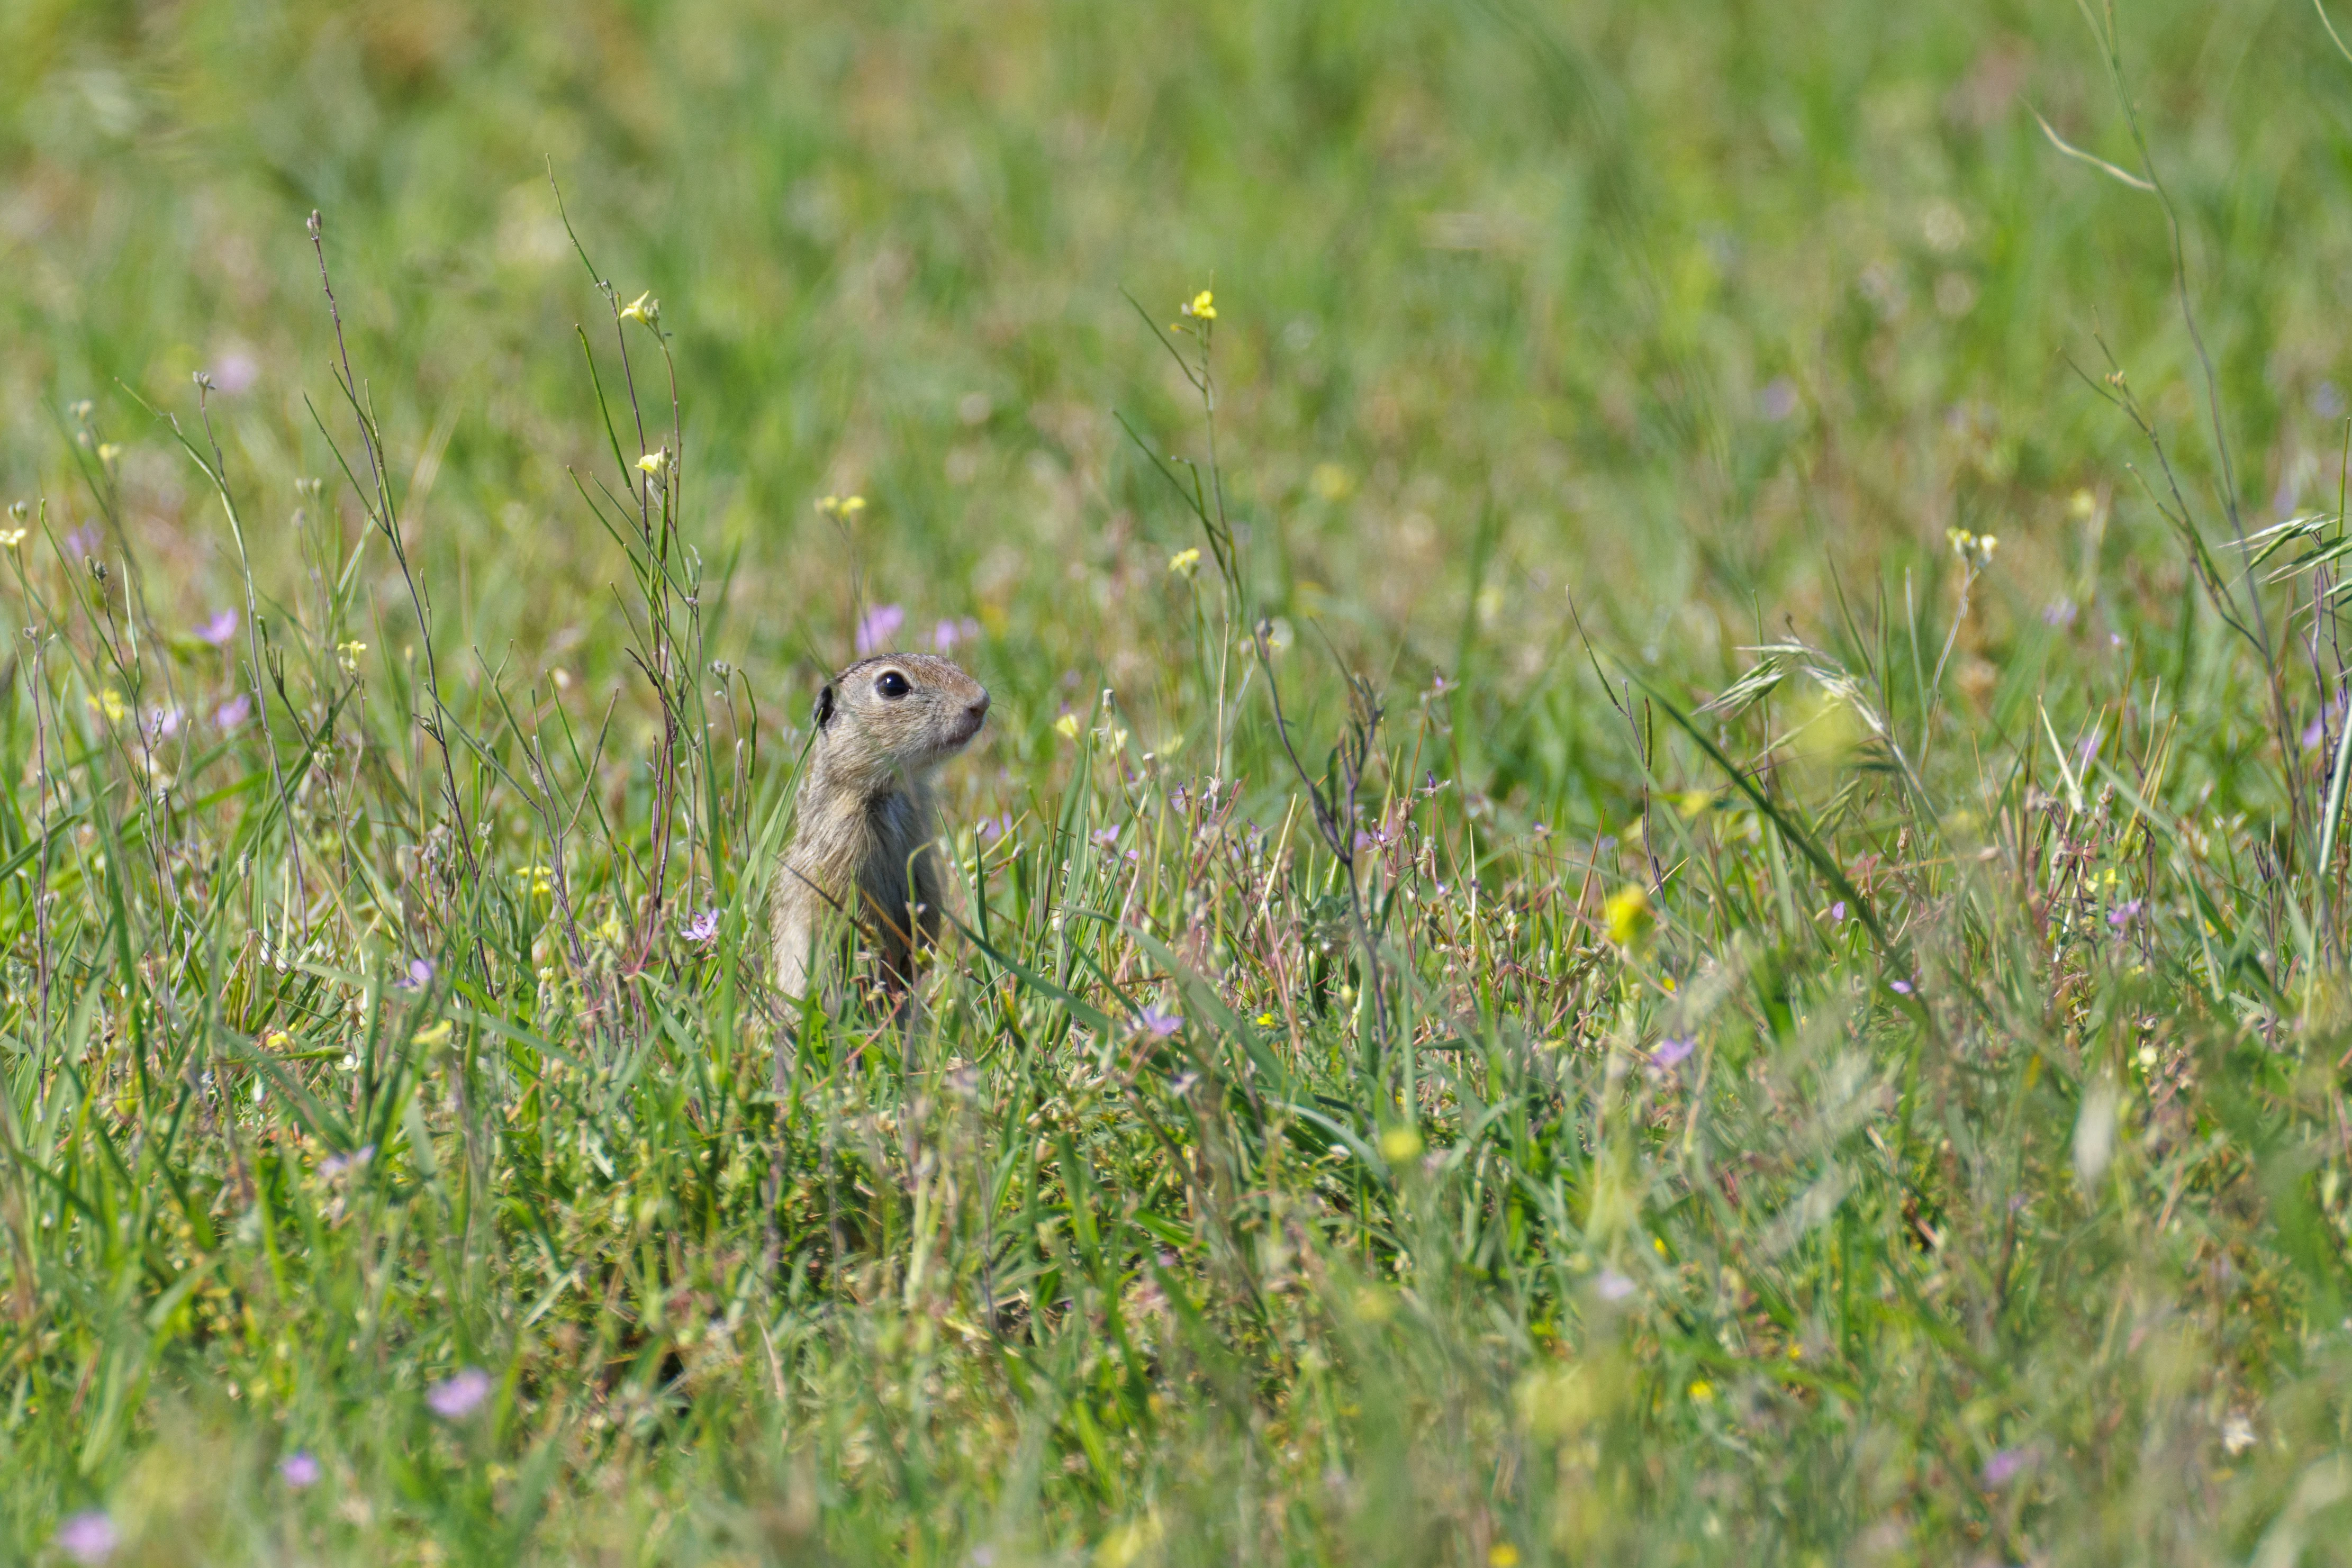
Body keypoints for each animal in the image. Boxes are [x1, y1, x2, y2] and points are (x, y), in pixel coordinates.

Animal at [772, 651, 991, 1000]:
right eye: (892, 685)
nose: (981, 702)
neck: (890, 794)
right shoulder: (843, 854)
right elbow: (860, 914)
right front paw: (887, 959)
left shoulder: (921, 841)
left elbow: (928, 896)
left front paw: (920, 957)